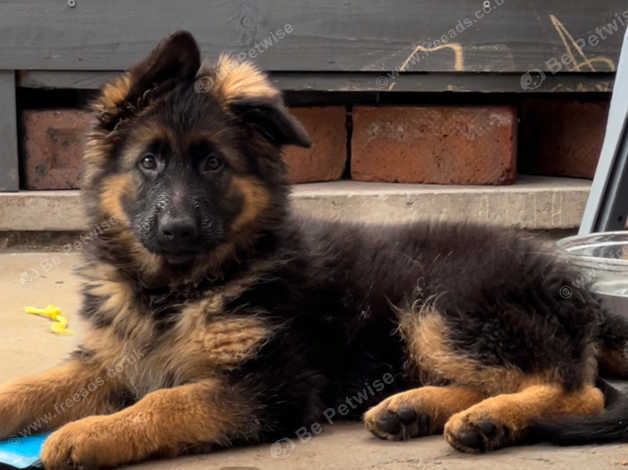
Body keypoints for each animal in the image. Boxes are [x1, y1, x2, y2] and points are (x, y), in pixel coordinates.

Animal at [1, 31, 628, 468]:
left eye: (213, 164)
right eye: (148, 162)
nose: (177, 228)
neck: (177, 288)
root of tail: (572, 286)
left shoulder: (274, 384)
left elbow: (165, 403)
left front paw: (89, 433)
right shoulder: (111, 359)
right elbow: (32, 386)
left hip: (446, 305)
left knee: (581, 392)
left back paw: (489, 421)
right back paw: (413, 408)